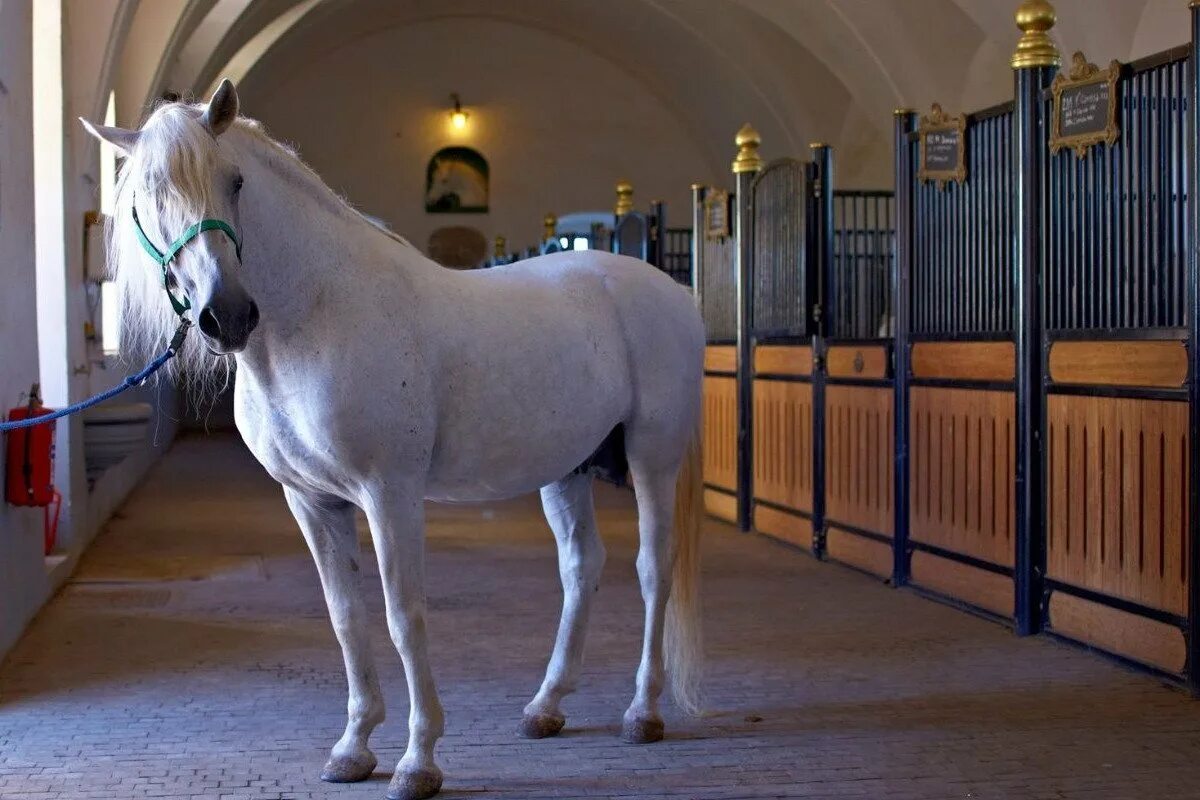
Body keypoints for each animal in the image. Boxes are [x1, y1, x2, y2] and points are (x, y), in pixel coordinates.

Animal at [87, 82, 700, 800]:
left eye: (234, 181)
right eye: (146, 195)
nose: (228, 315)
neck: (319, 318)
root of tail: (672, 290)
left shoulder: (390, 495)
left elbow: (403, 616)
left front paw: (417, 761)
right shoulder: (311, 502)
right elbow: (346, 618)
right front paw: (353, 749)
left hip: (653, 460)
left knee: (653, 569)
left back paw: (643, 712)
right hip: (566, 469)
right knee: (582, 568)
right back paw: (545, 707)